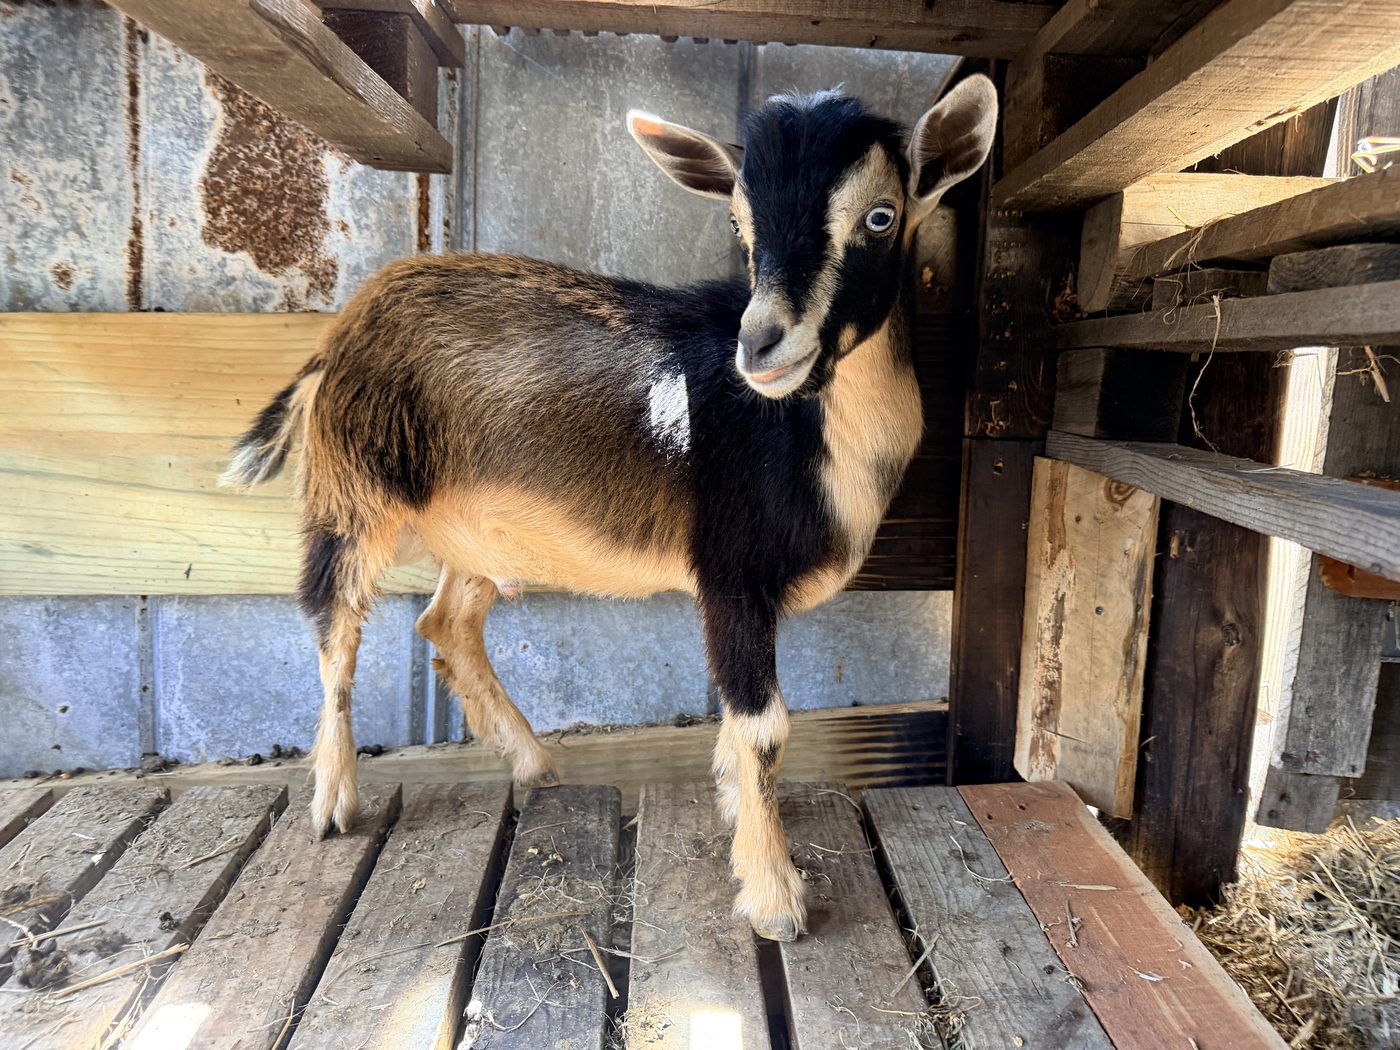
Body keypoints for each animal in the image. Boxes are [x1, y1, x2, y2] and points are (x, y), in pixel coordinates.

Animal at [225, 76, 997, 942]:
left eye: (880, 216)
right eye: (740, 223)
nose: (762, 345)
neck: (802, 431)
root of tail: (338, 334)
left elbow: (735, 729)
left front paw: (734, 811)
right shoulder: (729, 570)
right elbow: (763, 727)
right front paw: (774, 898)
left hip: (476, 532)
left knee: (445, 624)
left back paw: (535, 765)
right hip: (352, 490)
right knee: (335, 624)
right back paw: (334, 799)